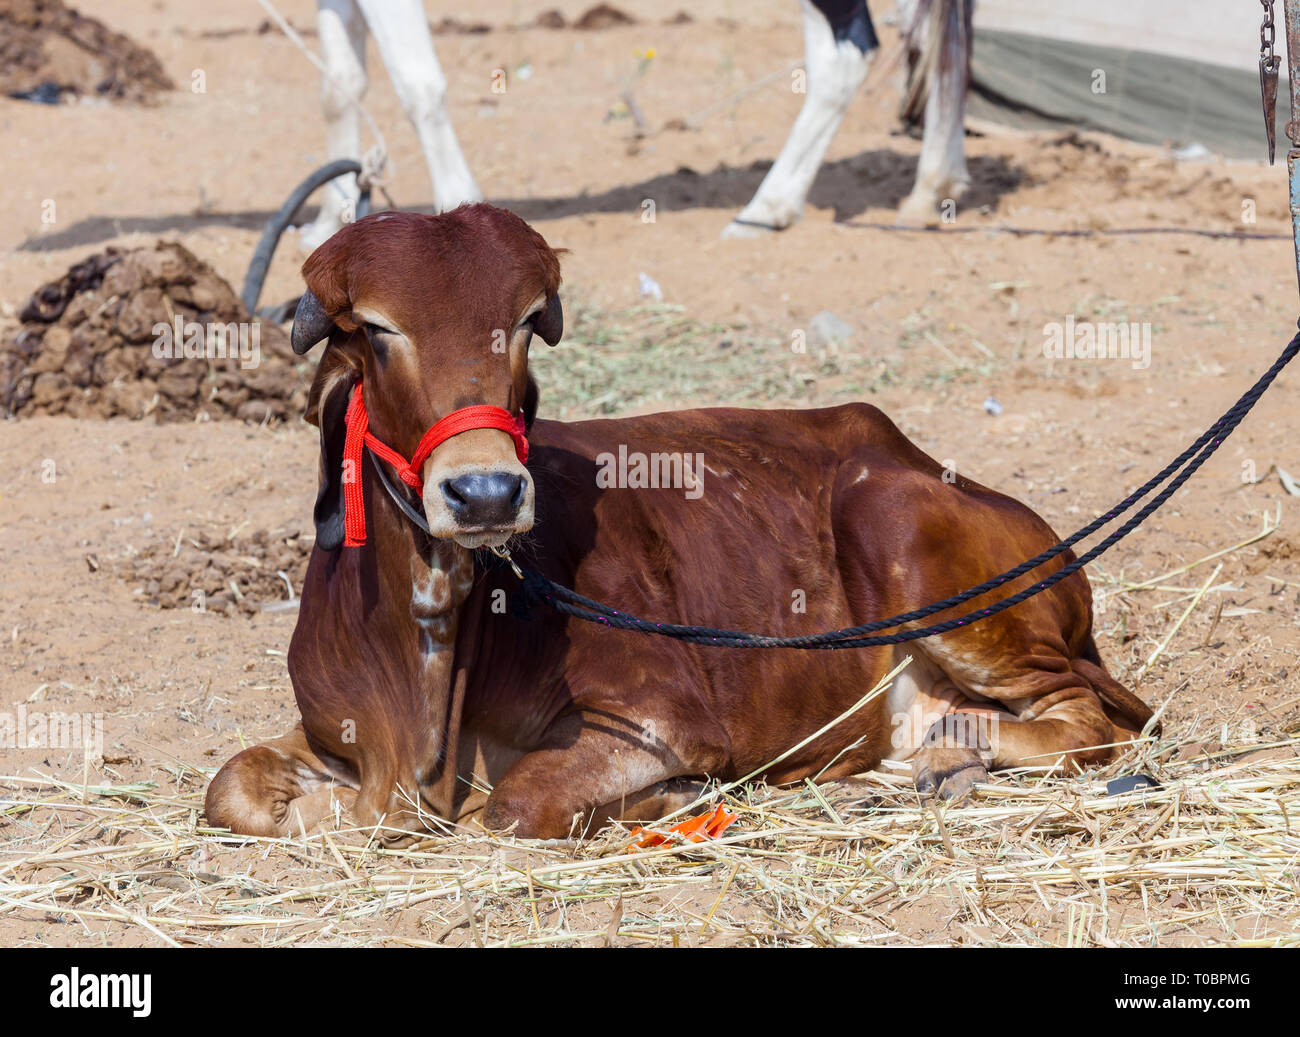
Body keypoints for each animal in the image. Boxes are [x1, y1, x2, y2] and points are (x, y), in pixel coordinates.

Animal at [204, 203, 1153, 843]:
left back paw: (940, 759)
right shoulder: (326, 733)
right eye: (376, 331)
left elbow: (510, 804)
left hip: (921, 551)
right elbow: (232, 787)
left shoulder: (661, 720)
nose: (485, 492)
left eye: (523, 325)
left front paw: (680, 796)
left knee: (1087, 720)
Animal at [296, 0, 973, 249]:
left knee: (844, 58)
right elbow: (338, 86)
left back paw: (767, 207)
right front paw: (331, 218)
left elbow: (418, 87)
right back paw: (933, 188)